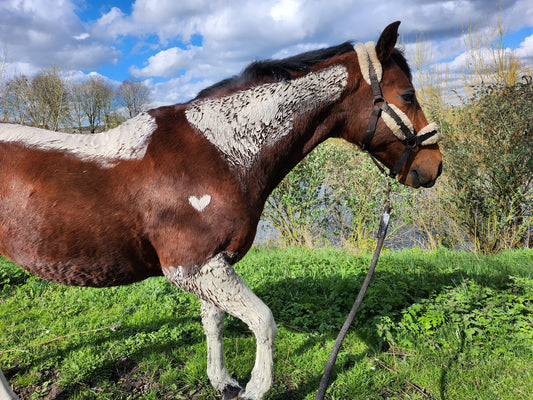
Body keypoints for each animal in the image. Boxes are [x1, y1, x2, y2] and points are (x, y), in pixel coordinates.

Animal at [0, 21, 440, 400]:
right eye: (408, 96)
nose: (433, 166)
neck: (222, 152)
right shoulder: (192, 267)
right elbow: (264, 321)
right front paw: (255, 389)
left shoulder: (213, 264)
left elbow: (214, 322)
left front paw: (223, 381)